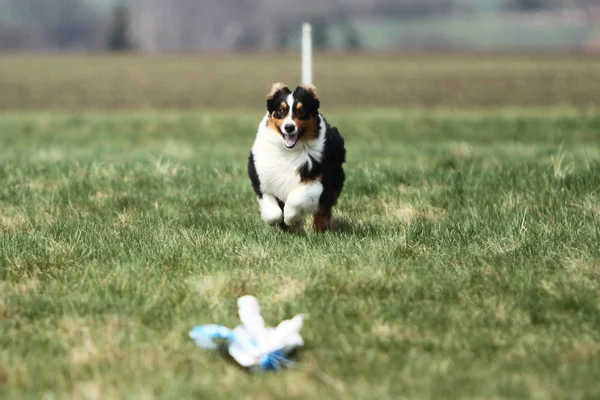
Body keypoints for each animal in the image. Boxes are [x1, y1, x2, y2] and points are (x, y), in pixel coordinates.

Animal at [246, 82, 344, 231]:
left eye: (301, 111)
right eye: (281, 110)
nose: (289, 127)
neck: (289, 151)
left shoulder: (319, 182)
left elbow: (294, 198)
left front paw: (290, 219)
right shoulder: (261, 182)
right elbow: (273, 214)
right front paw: (285, 224)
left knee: (322, 212)